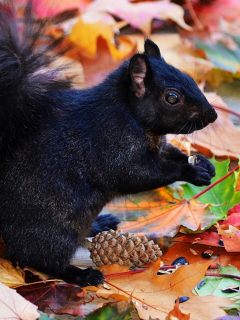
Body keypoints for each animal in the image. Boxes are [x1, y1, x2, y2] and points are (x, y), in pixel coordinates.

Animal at [0, 1, 218, 288]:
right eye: (172, 97)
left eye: (191, 79)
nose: (213, 116)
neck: (131, 115)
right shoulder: (112, 145)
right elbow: (137, 175)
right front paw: (190, 171)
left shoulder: (157, 146)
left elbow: (170, 154)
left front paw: (203, 164)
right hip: (52, 230)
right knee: (40, 259)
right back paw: (80, 274)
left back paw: (100, 224)